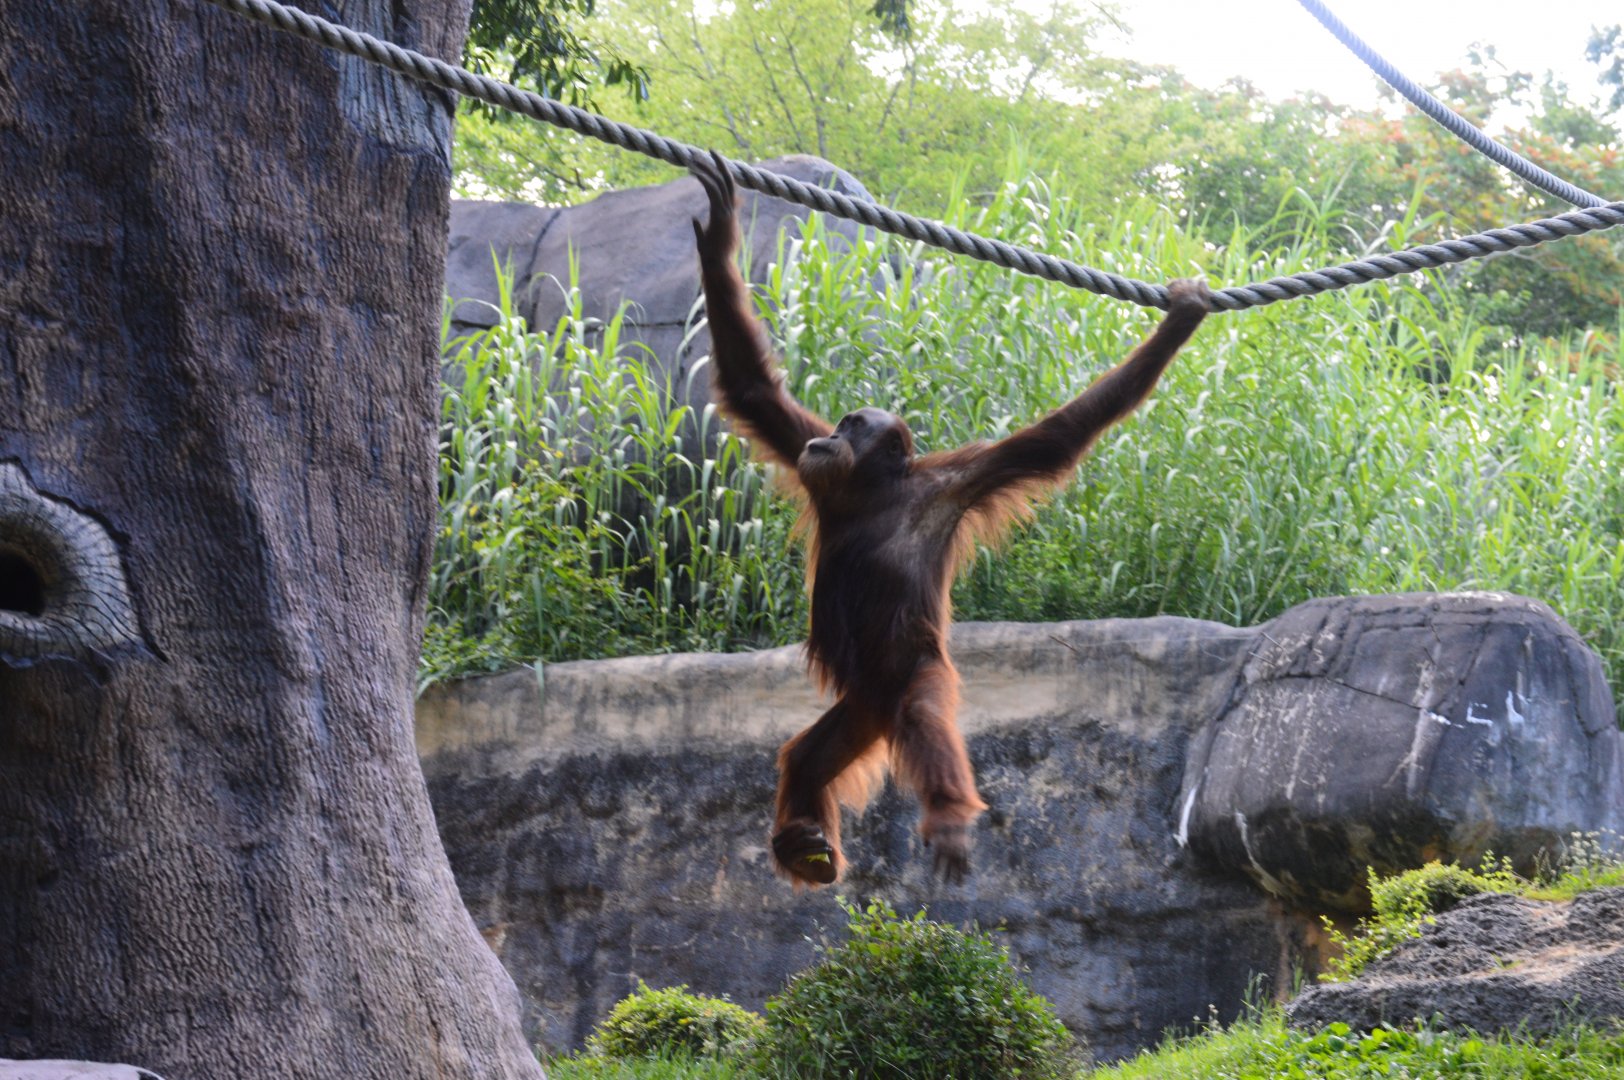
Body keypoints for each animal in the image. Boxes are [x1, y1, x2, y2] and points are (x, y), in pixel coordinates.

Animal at [689, 152, 1210, 885]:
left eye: (853, 425)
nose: (833, 435)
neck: (874, 494)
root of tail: (878, 706)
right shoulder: (808, 454)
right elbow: (753, 388)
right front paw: (718, 236)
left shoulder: (957, 483)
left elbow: (1051, 441)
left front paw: (1180, 322)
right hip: (858, 709)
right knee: (809, 757)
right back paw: (804, 842)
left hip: (916, 675)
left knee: (926, 726)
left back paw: (947, 814)